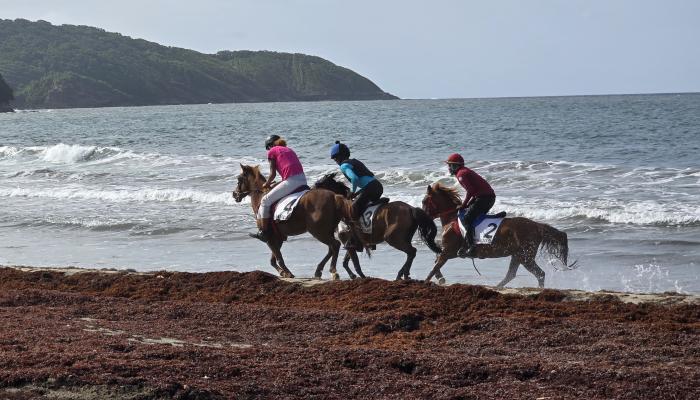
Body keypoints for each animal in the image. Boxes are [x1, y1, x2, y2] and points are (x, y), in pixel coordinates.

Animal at [422, 183, 576, 290]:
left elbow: (434, 266)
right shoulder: (449, 252)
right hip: (518, 255)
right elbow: (435, 262)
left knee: (540, 274)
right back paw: (497, 287)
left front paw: (428, 281)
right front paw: (440, 279)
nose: (423, 216)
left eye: (424, 201)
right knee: (512, 274)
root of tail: (537, 226)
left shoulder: (449, 251)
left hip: (525, 256)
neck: (451, 219)